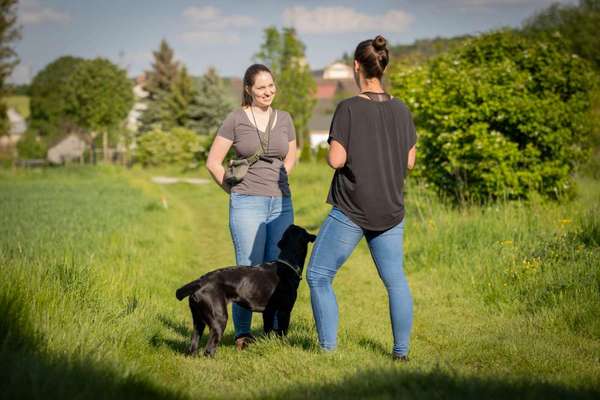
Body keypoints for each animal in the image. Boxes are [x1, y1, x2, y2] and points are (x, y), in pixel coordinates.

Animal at [175, 225, 316, 356]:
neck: (287, 264)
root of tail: (200, 282)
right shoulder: (284, 311)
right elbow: (282, 332)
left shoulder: (268, 312)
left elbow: (268, 330)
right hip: (219, 319)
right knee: (209, 350)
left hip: (198, 321)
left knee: (192, 347)